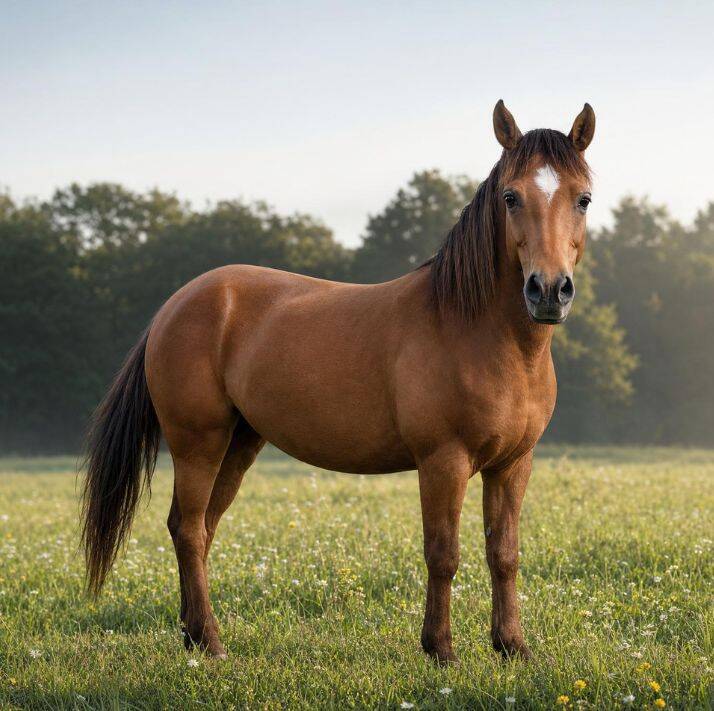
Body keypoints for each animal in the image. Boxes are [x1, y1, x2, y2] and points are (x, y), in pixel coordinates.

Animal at [81, 100, 595, 664]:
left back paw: (191, 633)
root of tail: (174, 306)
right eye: (510, 196)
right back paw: (212, 642)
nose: (548, 291)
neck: (478, 330)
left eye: (583, 198)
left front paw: (512, 646)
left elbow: (503, 554)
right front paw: (440, 649)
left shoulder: (513, 464)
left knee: (198, 527)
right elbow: (443, 554)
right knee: (190, 529)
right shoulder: (444, 460)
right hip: (198, 443)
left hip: (238, 444)